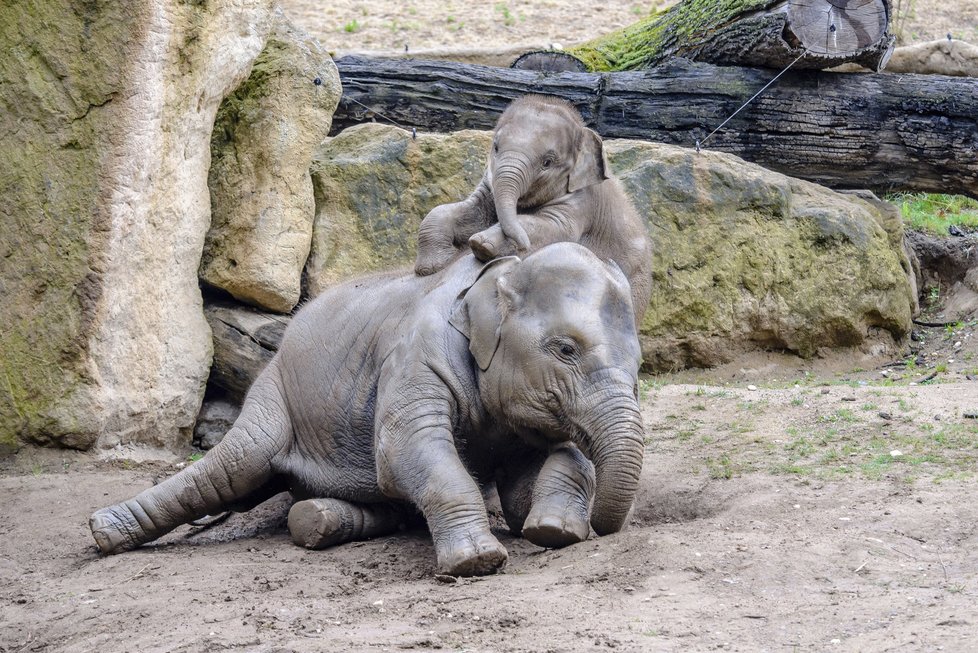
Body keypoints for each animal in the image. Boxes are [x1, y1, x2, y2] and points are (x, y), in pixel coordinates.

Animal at [87, 243, 644, 576]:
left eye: (639, 364)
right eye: (565, 349)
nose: (601, 528)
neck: (501, 270)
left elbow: (537, 480)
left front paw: (553, 531)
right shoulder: (414, 357)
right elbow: (405, 451)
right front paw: (478, 562)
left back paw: (316, 519)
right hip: (273, 394)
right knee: (231, 469)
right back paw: (104, 533)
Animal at [408, 92, 652, 326]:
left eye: (547, 162)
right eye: (496, 147)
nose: (520, 246)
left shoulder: (582, 202)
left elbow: (552, 228)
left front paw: (482, 245)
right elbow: (467, 212)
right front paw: (432, 266)